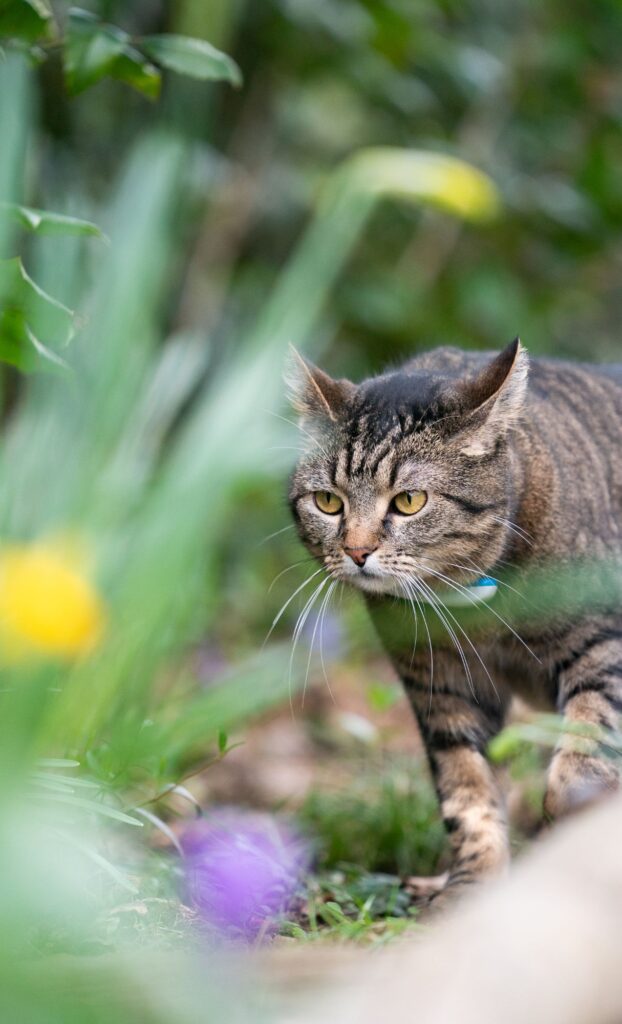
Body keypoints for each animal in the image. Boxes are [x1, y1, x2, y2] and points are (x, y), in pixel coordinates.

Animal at [286, 342, 622, 905]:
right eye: (328, 502)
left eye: (409, 501)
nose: (356, 551)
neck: (479, 611)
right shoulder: (440, 685)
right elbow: (466, 790)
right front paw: (471, 885)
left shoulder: (603, 642)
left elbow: (587, 740)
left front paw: (571, 818)